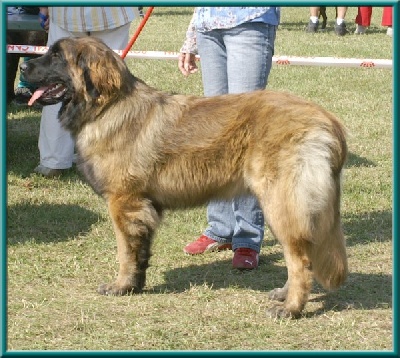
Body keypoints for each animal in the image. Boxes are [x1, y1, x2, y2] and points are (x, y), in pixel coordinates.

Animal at [20, 36, 348, 318]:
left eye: (57, 56)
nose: (23, 66)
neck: (106, 107)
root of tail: (328, 120)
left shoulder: (123, 203)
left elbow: (125, 252)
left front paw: (121, 286)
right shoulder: (143, 208)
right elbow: (141, 252)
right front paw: (135, 285)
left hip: (281, 205)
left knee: (300, 260)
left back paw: (291, 307)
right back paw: (284, 294)